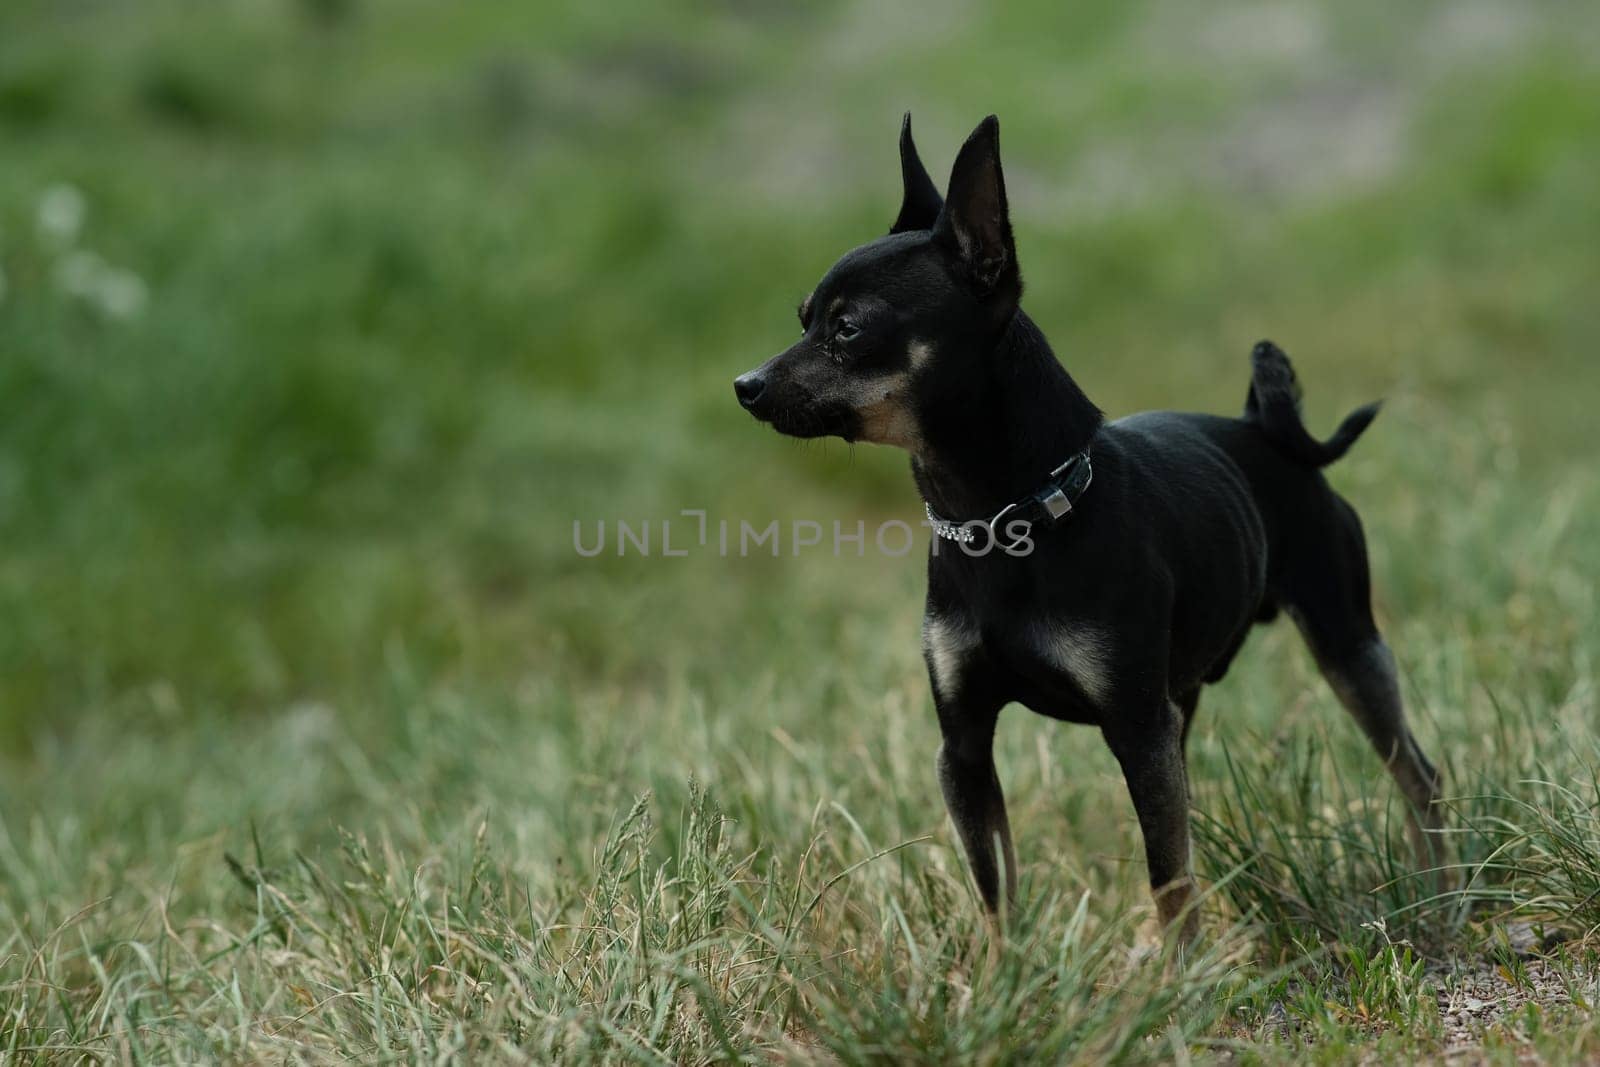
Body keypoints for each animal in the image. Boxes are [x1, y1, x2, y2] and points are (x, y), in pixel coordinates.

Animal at [732, 115, 1446, 940]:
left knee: (1418, 774)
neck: (1005, 522)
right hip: (1187, 703)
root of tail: (1263, 429)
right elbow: (996, 888)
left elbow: (1168, 877)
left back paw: (1443, 895)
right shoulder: (966, 746)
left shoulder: (1135, 729)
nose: (744, 385)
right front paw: (1005, 972)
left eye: (847, 330)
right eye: (803, 320)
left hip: (1346, 645)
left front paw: (1182, 972)